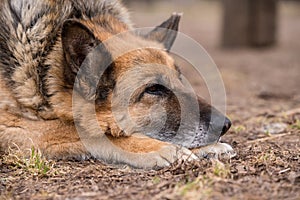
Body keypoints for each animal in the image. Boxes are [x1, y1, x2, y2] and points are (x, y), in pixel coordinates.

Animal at [0, 0, 233, 169]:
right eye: (153, 89)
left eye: (179, 78)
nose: (225, 125)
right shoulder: (11, 124)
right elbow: (82, 130)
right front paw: (157, 148)